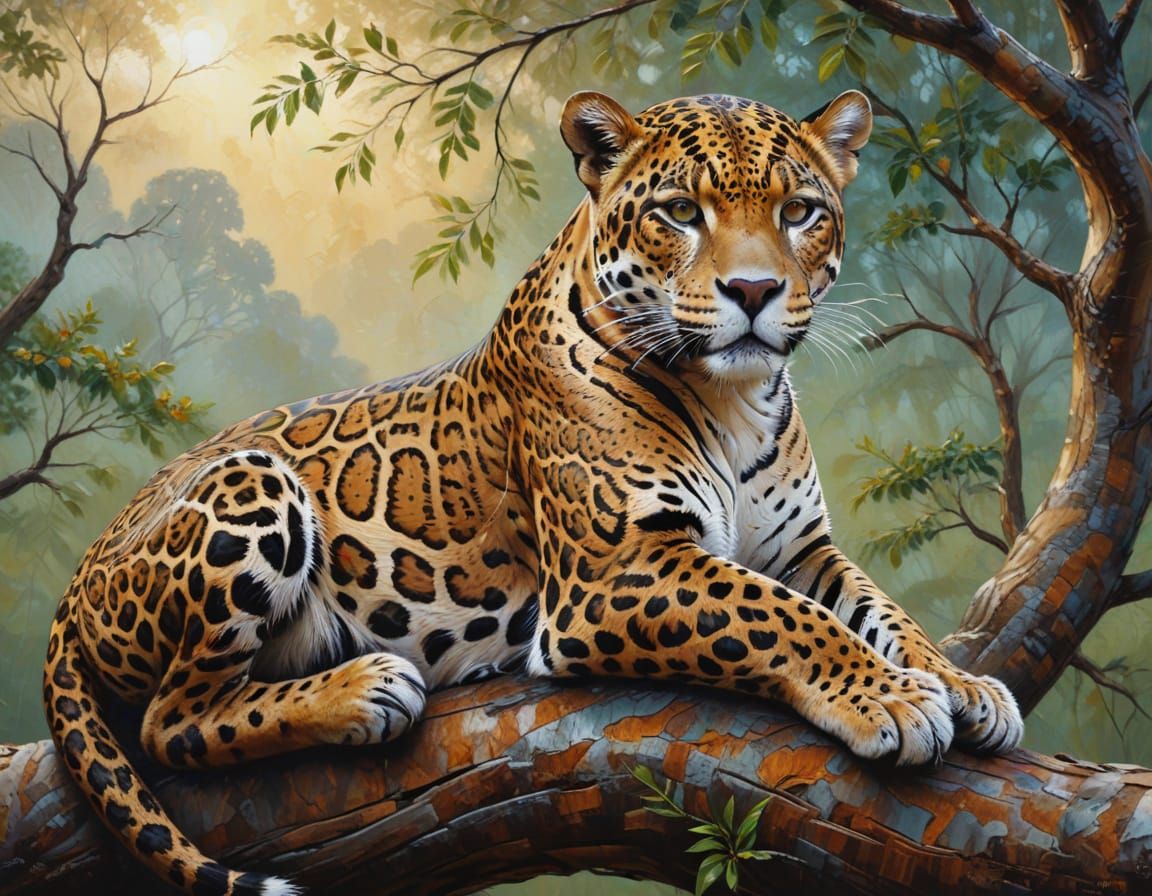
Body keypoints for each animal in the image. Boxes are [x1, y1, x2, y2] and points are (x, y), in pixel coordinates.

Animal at [43, 89, 1023, 895]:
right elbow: (780, 617)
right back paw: (364, 690)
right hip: (252, 482)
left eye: (799, 212)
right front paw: (887, 699)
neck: (737, 397)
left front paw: (959, 683)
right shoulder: (614, 572)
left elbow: (875, 608)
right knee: (171, 720)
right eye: (681, 213)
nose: (754, 290)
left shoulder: (800, 547)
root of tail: (88, 553)